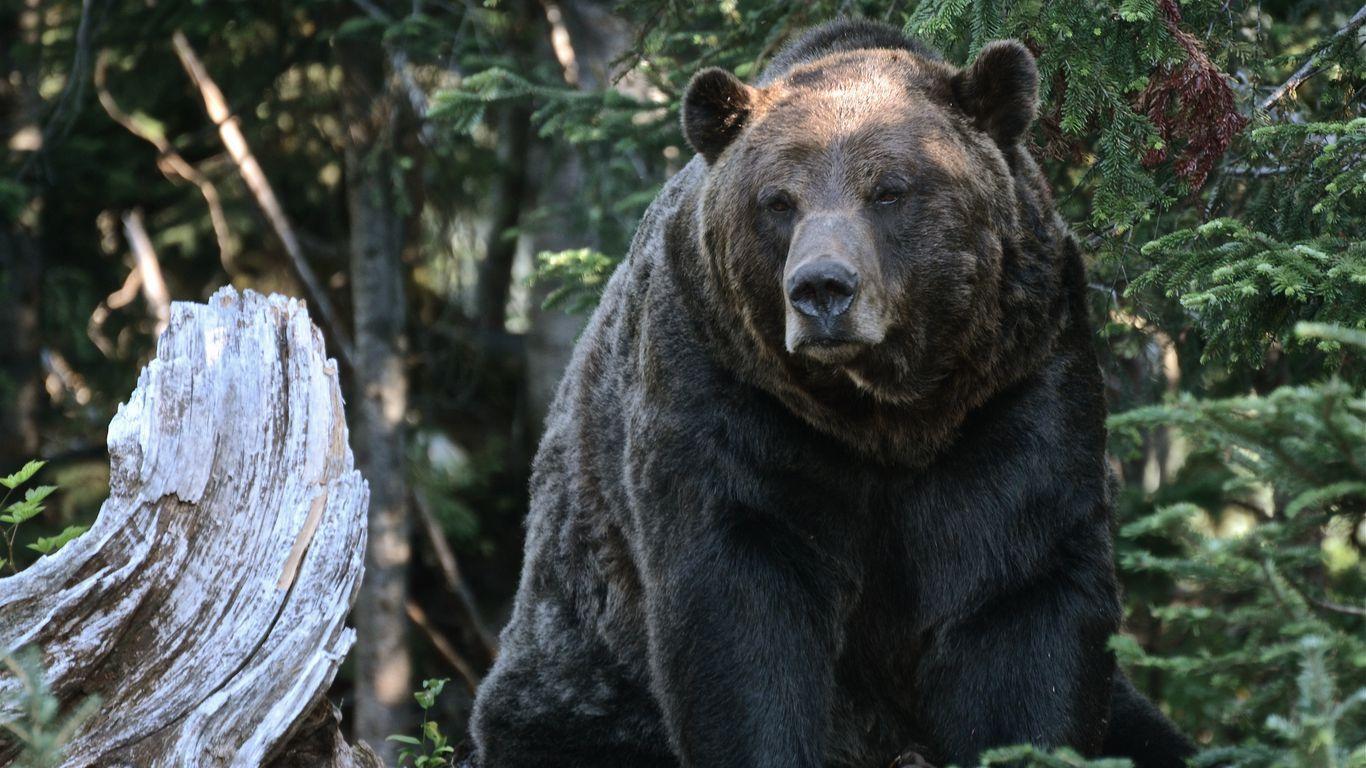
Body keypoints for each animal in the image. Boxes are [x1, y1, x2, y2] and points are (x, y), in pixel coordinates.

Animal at [468, 18, 1196, 768]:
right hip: (585, 670)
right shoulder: (730, 396)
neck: (887, 415)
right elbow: (741, 622)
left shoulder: (1015, 394)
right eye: (777, 200)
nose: (821, 288)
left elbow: (1021, 612)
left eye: (890, 190)